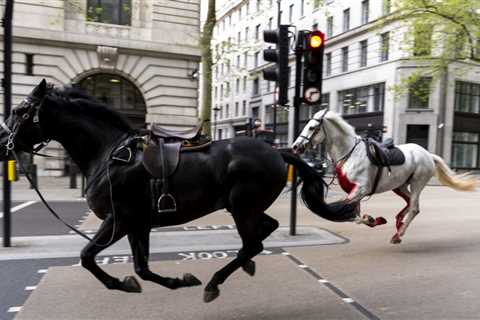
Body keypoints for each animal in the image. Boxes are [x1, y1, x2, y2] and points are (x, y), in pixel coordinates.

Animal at [0, 80, 356, 302]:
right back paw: (243, 266)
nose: (3, 142)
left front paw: (120, 283)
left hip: (242, 206)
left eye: (19, 111)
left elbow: (87, 257)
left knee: (253, 243)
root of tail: (277, 151)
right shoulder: (138, 223)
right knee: (264, 231)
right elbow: (142, 268)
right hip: (245, 206)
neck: (110, 154)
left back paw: (215, 282)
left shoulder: (119, 220)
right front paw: (174, 281)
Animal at [292, 109, 476, 244]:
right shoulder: (355, 192)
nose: (295, 146)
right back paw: (398, 223)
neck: (350, 153)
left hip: (417, 183)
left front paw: (373, 219)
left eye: (311, 127)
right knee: (409, 203)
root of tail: (428, 154)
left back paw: (398, 235)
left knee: (414, 208)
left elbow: (347, 213)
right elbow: (353, 215)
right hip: (400, 185)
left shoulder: (361, 189)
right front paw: (373, 219)